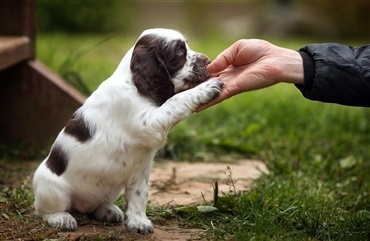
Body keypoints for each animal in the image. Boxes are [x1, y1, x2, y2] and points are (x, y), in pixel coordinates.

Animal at [32, 28, 223, 233]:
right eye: (179, 51)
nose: (209, 61)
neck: (133, 83)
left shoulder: (140, 170)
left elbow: (139, 196)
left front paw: (138, 222)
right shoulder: (148, 123)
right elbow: (175, 100)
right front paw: (207, 88)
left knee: (96, 206)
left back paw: (108, 211)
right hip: (53, 189)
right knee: (45, 210)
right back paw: (62, 218)